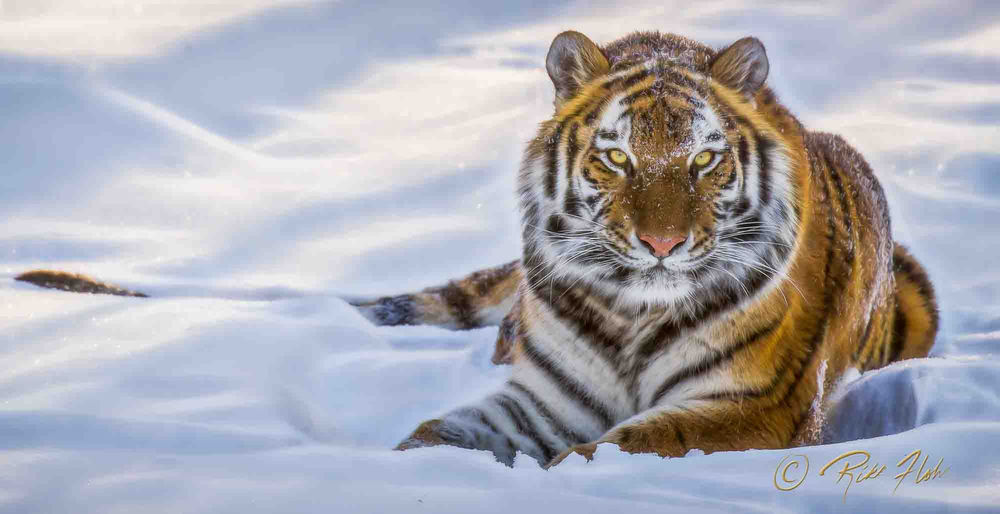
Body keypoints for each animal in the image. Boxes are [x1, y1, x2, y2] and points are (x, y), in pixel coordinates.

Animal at [353, 30, 939, 468]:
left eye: (704, 159)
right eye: (616, 157)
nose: (662, 242)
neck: (630, 317)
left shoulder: (752, 405)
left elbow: (623, 445)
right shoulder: (545, 400)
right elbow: (436, 431)